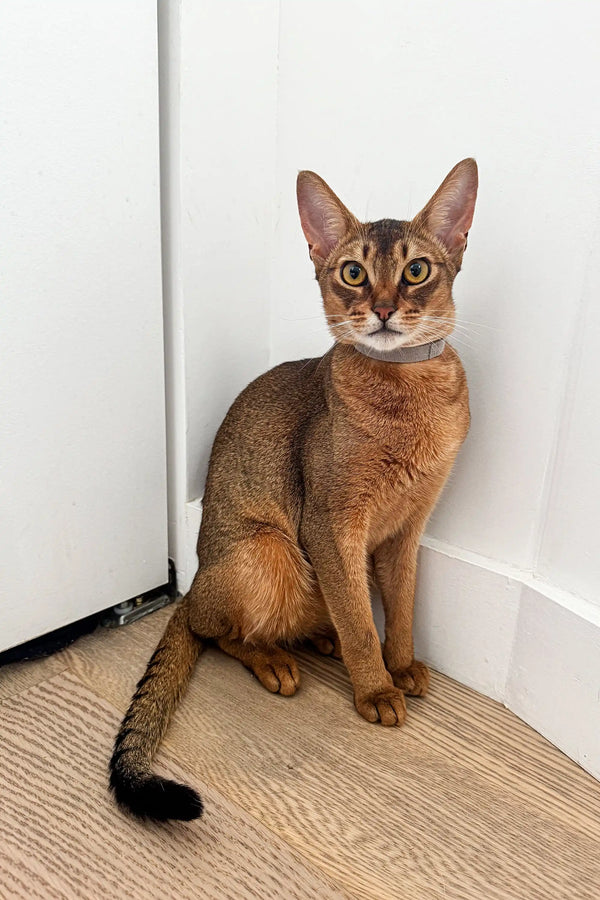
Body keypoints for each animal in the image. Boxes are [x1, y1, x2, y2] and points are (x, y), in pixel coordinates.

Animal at [110, 156, 478, 824]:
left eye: (416, 270)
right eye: (353, 273)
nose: (383, 309)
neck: (409, 397)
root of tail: (194, 582)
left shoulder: (407, 528)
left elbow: (400, 604)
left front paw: (402, 663)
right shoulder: (331, 525)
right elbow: (361, 617)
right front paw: (376, 687)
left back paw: (318, 637)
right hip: (271, 549)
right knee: (216, 630)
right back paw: (277, 661)